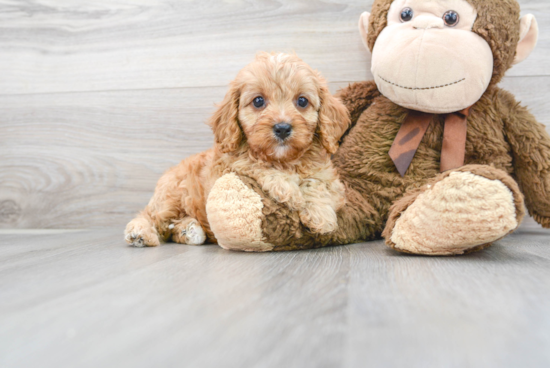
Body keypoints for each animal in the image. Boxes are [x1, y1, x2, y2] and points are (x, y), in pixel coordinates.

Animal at [124, 52, 350, 247]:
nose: (283, 128)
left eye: (302, 101)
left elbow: (317, 183)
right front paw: (289, 189)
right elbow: (253, 163)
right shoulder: (229, 164)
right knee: (151, 216)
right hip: (171, 196)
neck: (284, 160)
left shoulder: (331, 180)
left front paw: (321, 215)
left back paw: (188, 230)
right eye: (258, 101)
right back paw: (140, 232)